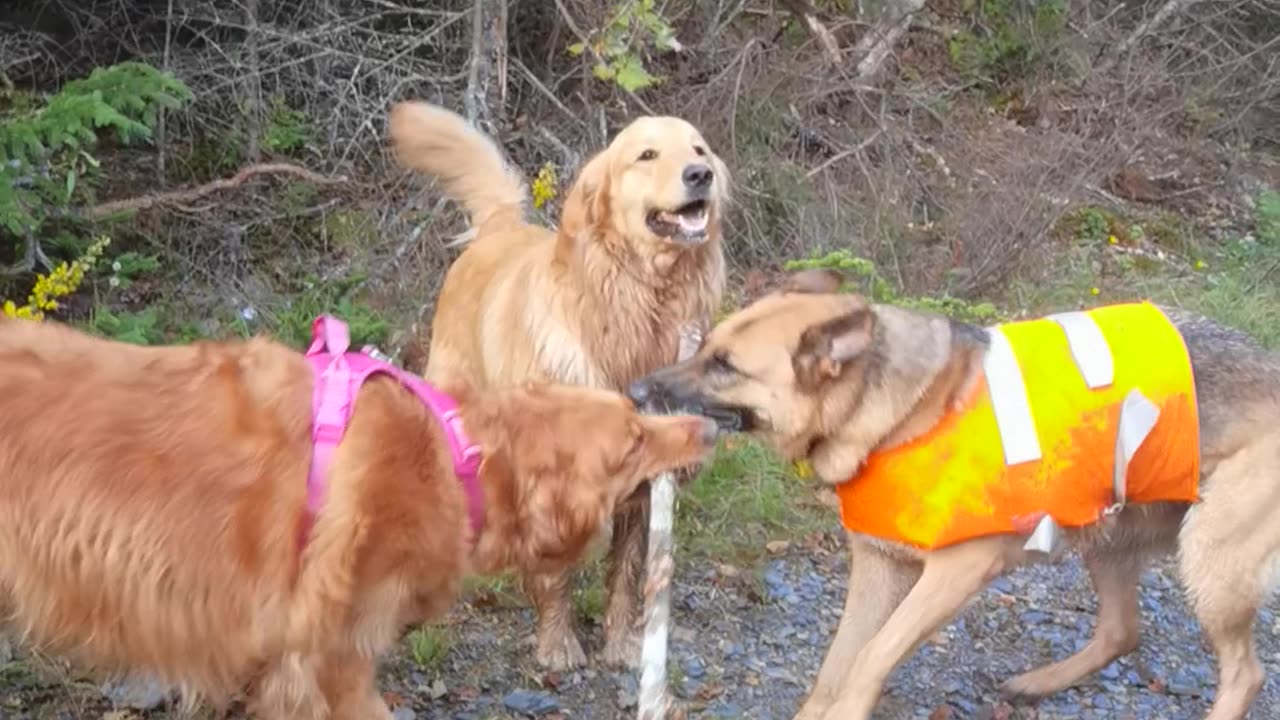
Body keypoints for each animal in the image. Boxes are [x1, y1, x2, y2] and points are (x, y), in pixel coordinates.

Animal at [384, 101, 732, 666]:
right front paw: (557, 644)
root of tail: (499, 229)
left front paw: (621, 643)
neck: (636, 316)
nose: (700, 174)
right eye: (647, 154)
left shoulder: (643, 478)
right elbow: (555, 573)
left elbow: (626, 570)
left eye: (698, 149)